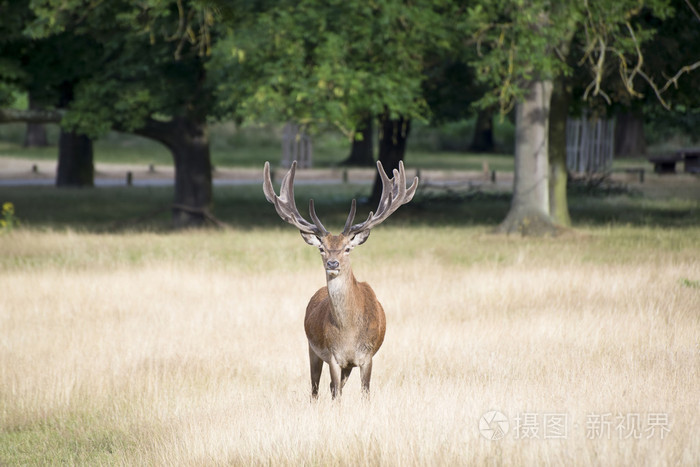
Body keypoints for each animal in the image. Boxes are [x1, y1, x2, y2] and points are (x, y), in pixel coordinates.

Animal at [262, 160, 416, 398]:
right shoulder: (333, 357)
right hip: (312, 349)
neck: (349, 333)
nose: (332, 264)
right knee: (316, 388)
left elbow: (364, 393)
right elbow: (335, 395)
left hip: (346, 365)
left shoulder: (367, 357)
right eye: (322, 249)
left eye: (347, 248)